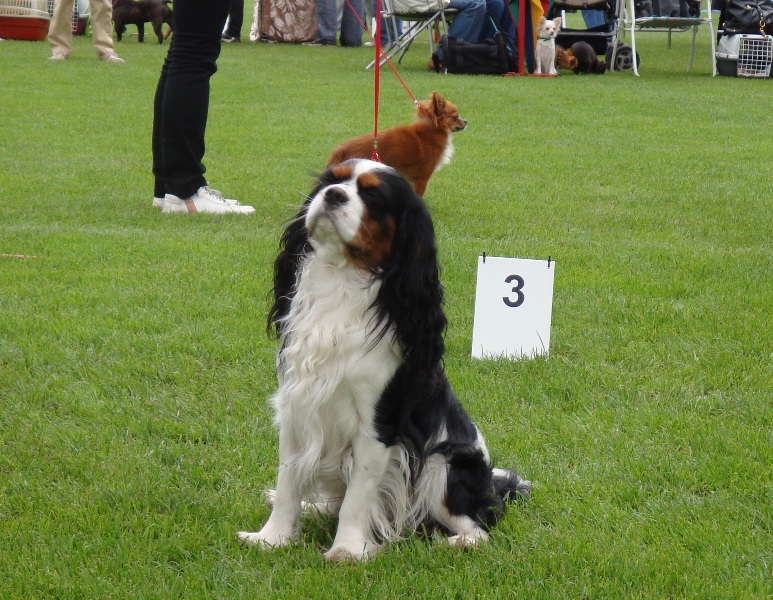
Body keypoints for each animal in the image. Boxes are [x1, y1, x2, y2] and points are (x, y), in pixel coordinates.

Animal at [240, 161, 532, 564]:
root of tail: (491, 481)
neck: (341, 278)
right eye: (331, 180)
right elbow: (288, 482)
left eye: (374, 198)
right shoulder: (296, 406)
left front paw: (347, 550)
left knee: (477, 527)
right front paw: (272, 538)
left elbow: (358, 497)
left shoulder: (377, 425)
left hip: (442, 468)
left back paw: (454, 542)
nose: (333, 195)